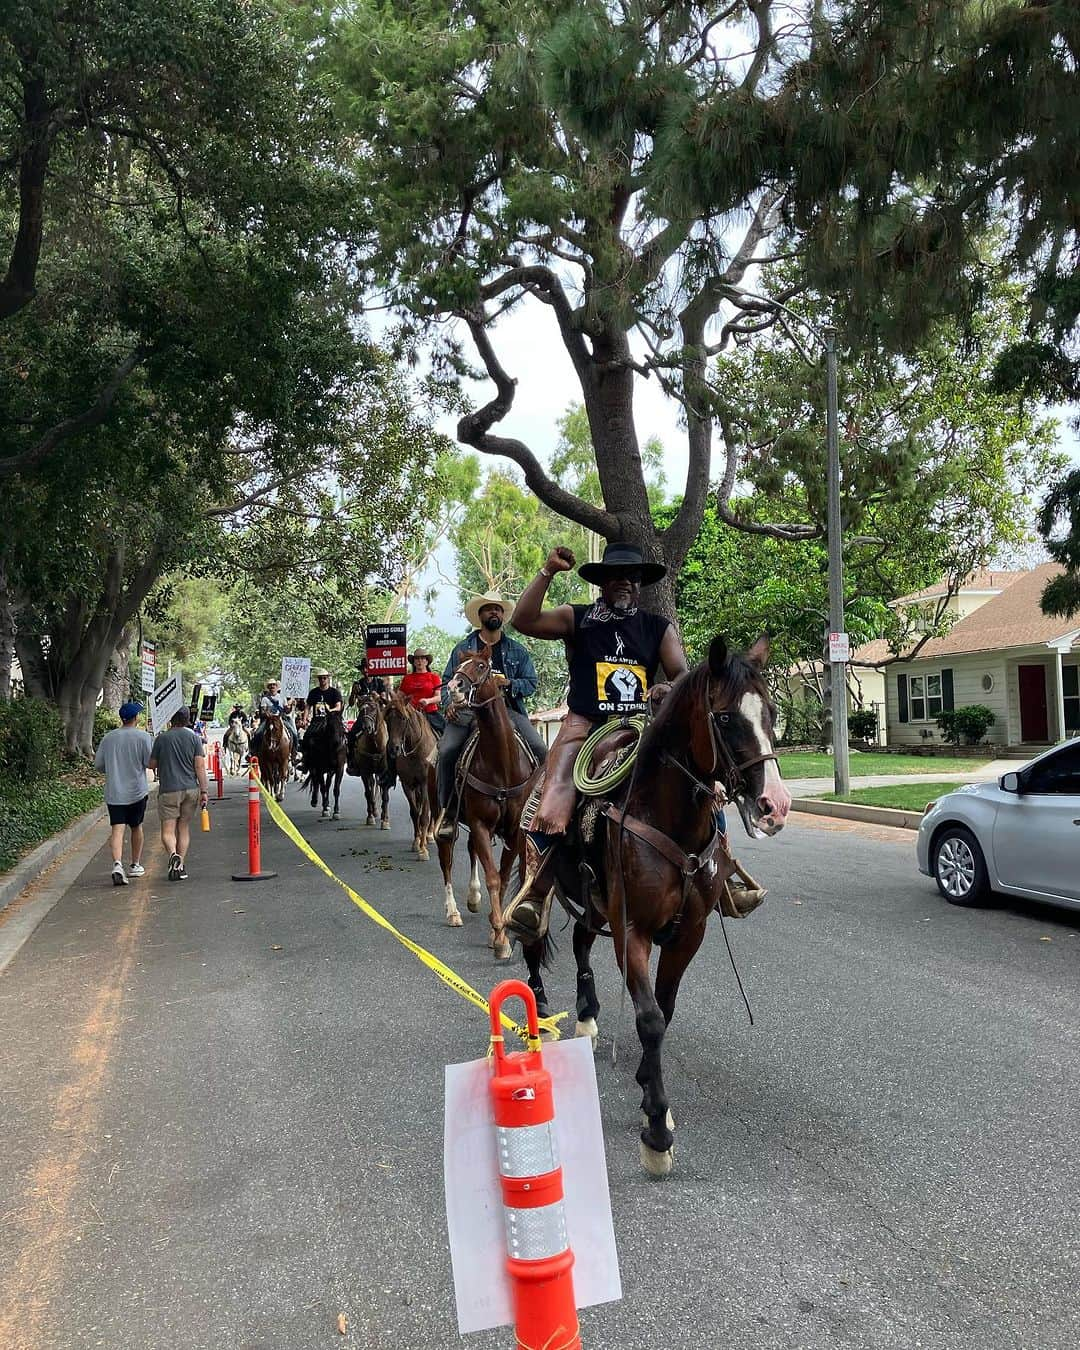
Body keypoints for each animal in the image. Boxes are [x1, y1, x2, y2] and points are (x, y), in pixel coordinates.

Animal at [345, 696, 391, 831]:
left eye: (374, 709)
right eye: (361, 710)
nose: (366, 728)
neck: (375, 745)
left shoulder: (384, 772)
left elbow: (385, 795)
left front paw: (385, 820)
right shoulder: (365, 772)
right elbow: (368, 793)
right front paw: (370, 817)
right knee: (372, 785)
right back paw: (374, 811)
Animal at [383, 696, 437, 864]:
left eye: (403, 718)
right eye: (387, 718)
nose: (393, 749)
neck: (416, 751)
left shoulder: (425, 784)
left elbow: (424, 815)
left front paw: (423, 850)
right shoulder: (408, 784)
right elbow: (414, 813)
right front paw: (416, 842)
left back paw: (430, 835)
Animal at [437, 653, 540, 961]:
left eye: (482, 666)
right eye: (457, 668)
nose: (454, 687)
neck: (502, 765)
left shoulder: (513, 832)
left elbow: (504, 878)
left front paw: (498, 932)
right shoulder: (481, 824)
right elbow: (493, 877)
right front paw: (500, 938)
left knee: (471, 848)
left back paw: (473, 898)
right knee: (446, 857)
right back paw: (453, 912)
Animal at [526, 637, 788, 1177]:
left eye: (772, 712)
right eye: (725, 717)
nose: (775, 806)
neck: (669, 821)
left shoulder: (689, 932)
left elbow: (663, 1013)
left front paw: (649, 1085)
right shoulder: (634, 930)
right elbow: (647, 1018)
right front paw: (656, 1130)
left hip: (595, 903)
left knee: (581, 944)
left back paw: (587, 1013)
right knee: (530, 940)